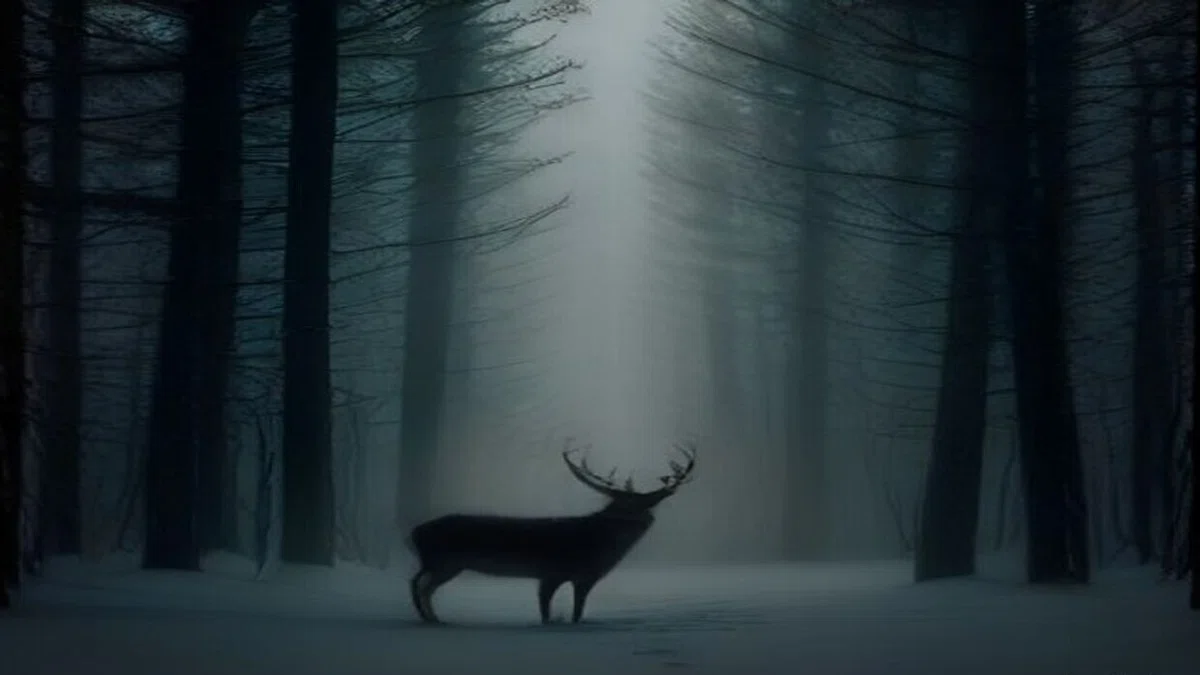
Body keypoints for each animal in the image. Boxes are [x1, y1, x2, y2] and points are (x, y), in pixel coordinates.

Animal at [407, 439, 697, 625]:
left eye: (645, 503)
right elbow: (546, 610)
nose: (641, 519)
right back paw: (429, 618)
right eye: (622, 503)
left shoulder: (584, 578)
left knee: (424, 586)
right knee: (417, 582)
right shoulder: (551, 571)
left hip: (447, 563)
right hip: (443, 559)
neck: (597, 547)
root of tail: (414, 531)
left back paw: (434, 618)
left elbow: (577, 612)